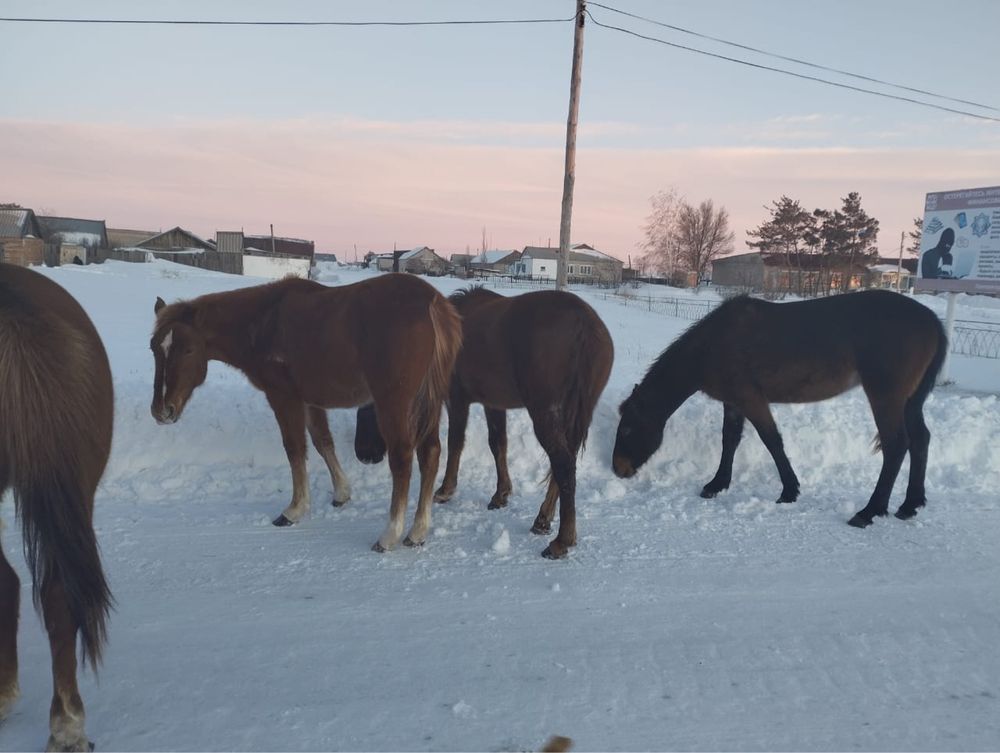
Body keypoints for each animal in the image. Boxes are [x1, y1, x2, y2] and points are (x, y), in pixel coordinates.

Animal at [150, 274, 462, 548]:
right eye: (154, 348)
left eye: (188, 350)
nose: (161, 410)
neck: (263, 320)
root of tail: (432, 304)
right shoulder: (310, 401)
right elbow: (323, 443)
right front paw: (341, 493)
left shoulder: (283, 397)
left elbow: (295, 449)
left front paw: (294, 509)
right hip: (428, 405)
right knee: (430, 454)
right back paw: (418, 531)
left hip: (394, 404)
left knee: (402, 459)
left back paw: (390, 535)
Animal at [356, 288, 612, 560]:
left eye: (369, 407)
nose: (363, 454)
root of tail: (584, 325)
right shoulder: (494, 404)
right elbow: (498, 444)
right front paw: (501, 493)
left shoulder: (456, 398)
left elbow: (455, 442)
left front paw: (446, 488)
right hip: (574, 414)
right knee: (565, 463)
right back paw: (543, 518)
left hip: (545, 412)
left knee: (563, 463)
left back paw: (562, 539)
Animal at [608, 290, 944, 528]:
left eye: (627, 428)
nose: (618, 469)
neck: (713, 344)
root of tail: (933, 322)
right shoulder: (733, 403)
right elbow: (729, 440)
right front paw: (717, 484)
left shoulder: (752, 400)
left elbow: (772, 441)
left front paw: (789, 491)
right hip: (909, 401)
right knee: (921, 440)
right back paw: (909, 505)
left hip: (886, 396)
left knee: (896, 445)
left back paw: (870, 511)